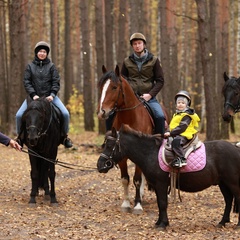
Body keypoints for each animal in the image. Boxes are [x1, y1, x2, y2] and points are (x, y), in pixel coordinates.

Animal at [96, 124, 240, 230]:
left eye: (109, 145)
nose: (100, 165)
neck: (151, 153)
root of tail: (235, 148)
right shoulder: (158, 185)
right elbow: (160, 203)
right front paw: (160, 222)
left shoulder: (161, 184)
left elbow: (163, 203)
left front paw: (163, 224)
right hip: (223, 183)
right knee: (228, 200)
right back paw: (222, 222)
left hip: (233, 183)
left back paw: (237, 225)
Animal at [97, 64, 169, 213]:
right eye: (101, 87)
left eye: (114, 87)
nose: (102, 112)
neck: (130, 117)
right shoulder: (121, 155)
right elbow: (125, 179)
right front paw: (126, 204)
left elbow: (137, 179)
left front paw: (137, 205)